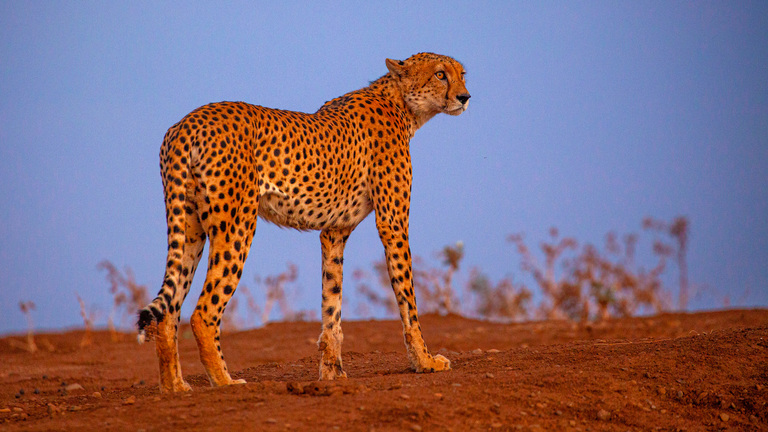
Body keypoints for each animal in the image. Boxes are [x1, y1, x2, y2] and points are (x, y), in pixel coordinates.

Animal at [140, 51, 472, 392]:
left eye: (462, 75)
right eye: (440, 74)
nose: (465, 97)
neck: (402, 104)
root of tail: (188, 122)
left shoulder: (334, 231)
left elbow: (332, 301)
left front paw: (331, 373)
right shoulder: (393, 222)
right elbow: (407, 296)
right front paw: (425, 361)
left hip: (189, 227)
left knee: (168, 312)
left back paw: (175, 386)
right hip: (236, 225)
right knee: (203, 312)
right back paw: (225, 381)